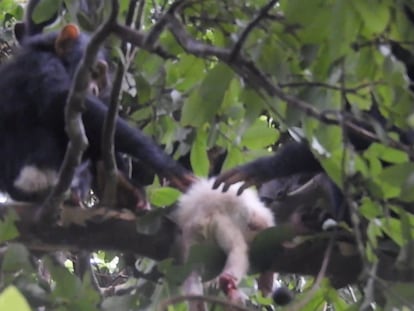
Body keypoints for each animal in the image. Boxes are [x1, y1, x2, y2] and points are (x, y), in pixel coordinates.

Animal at [0, 0, 194, 212]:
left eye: (99, 79)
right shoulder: (42, 64)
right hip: (34, 172)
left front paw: (128, 185)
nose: (94, 89)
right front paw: (168, 166)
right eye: (93, 72)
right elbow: (58, 102)